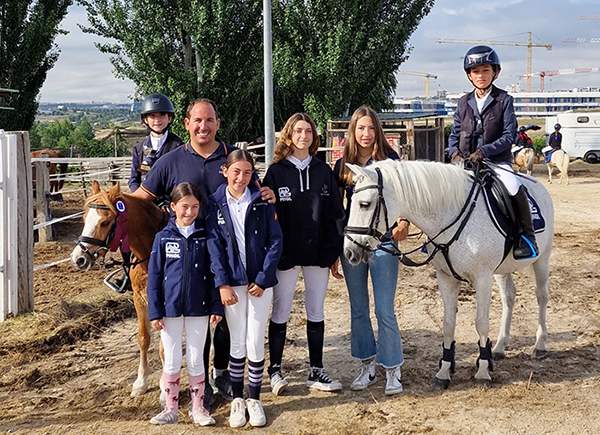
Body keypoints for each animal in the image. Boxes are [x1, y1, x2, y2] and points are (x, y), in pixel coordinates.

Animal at [70, 181, 169, 398]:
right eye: (84, 218)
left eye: (105, 223)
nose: (78, 259)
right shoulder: (140, 298)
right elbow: (143, 338)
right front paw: (140, 382)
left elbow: (164, 346)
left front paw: (165, 385)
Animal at [342, 159, 552, 388]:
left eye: (364, 204)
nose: (349, 251)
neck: (451, 217)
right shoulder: (446, 277)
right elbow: (448, 324)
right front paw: (444, 372)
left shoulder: (482, 278)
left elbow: (481, 323)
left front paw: (482, 371)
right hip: (501, 270)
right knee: (509, 297)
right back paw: (499, 347)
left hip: (542, 259)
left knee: (541, 296)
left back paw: (540, 345)